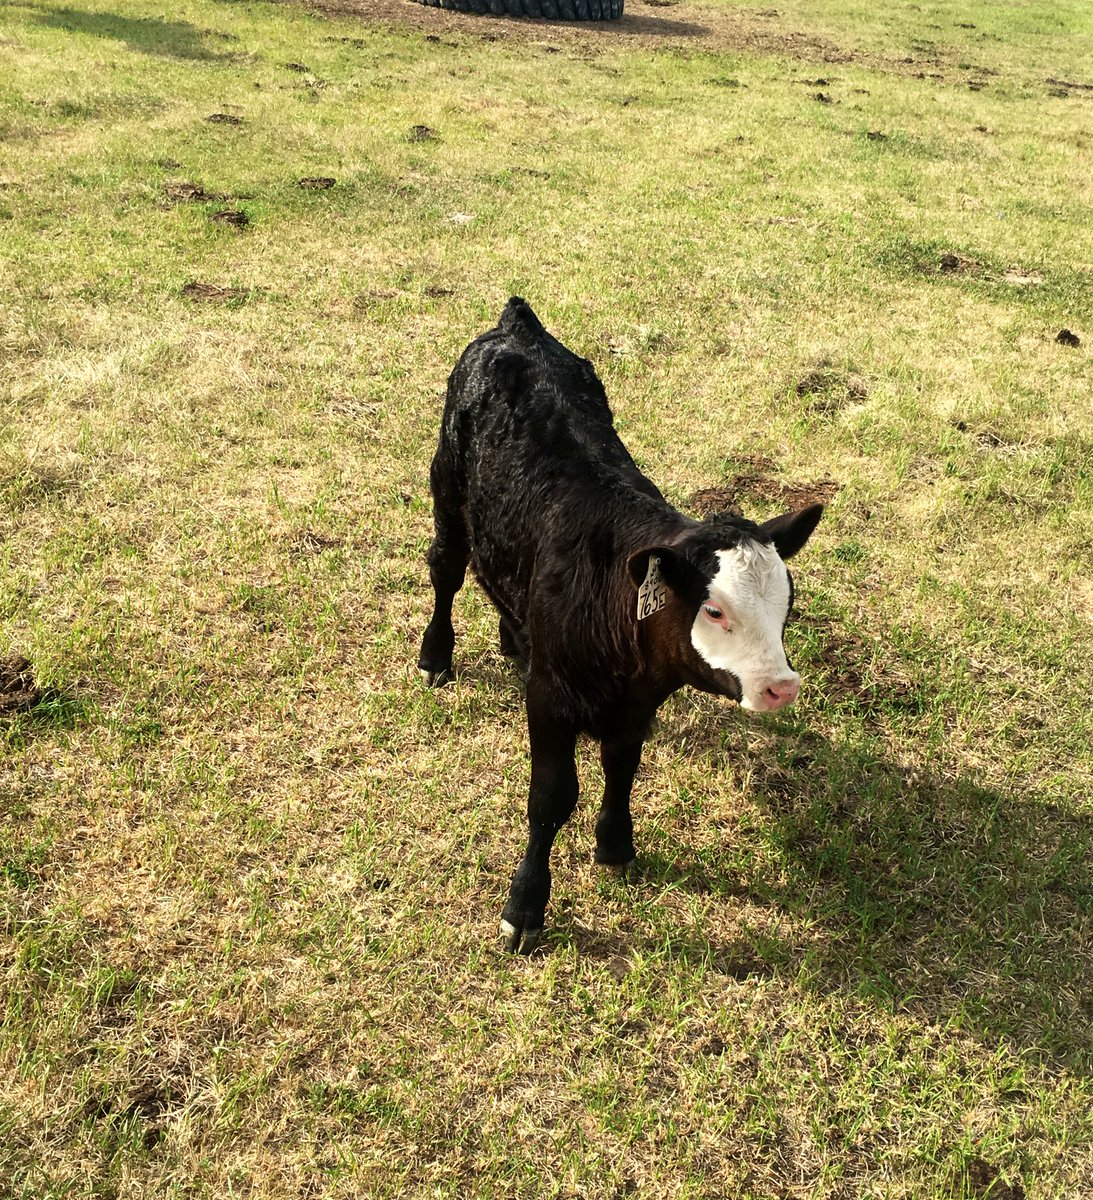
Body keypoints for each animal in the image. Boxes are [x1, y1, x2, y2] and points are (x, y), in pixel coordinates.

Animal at [418, 298, 823, 952]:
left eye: (787, 605)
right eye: (714, 610)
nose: (779, 687)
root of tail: (517, 325)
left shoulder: (638, 704)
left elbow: (622, 766)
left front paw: (615, 845)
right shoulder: (550, 699)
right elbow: (552, 795)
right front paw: (525, 907)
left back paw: (512, 638)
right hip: (447, 489)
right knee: (447, 568)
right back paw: (435, 657)